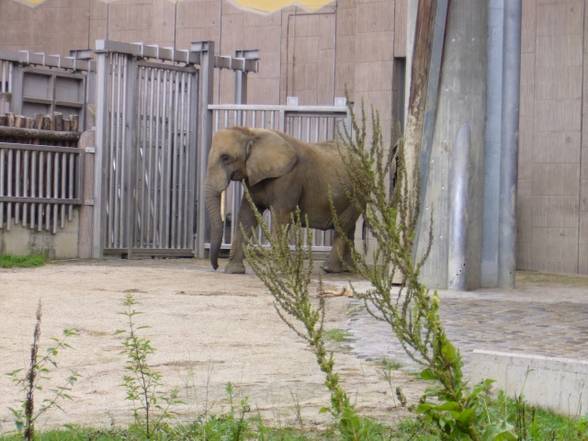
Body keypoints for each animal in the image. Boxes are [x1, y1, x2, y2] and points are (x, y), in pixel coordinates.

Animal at [204, 125, 360, 274]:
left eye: (225, 158)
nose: (216, 266)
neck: (251, 133)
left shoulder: (289, 178)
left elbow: (280, 216)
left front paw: (280, 271)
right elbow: (247, 215)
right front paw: (233, 271)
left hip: (357, 193)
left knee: (342, 226)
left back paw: (328, 269)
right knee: (350, 229)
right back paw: (348, 269)